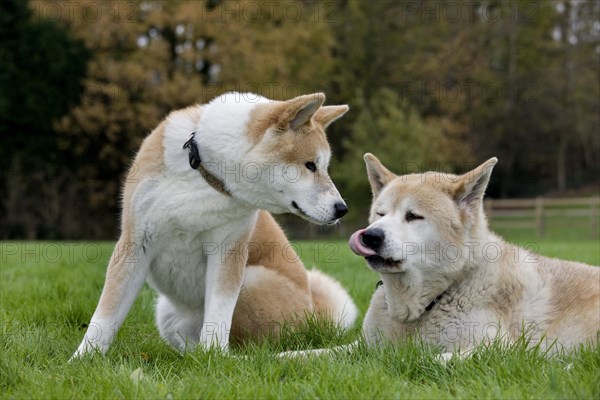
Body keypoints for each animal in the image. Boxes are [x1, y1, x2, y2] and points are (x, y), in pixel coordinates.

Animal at [73, 92, 358, 358]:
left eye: (324, 167)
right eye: (310, 165)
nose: (342, 208)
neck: (205, 173)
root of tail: (315, 313)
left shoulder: (228, 251)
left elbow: (219, 316)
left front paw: (213, 358)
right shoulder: (135, 242)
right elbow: (105, 316)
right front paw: (83, 359)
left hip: (250, 280)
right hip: (167, 311)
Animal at [346, 153, 600, 356]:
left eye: (413, 216)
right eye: (380, 214)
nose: (370, 236)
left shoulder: (502, 349)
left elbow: (430, 359)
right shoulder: (364, 344)